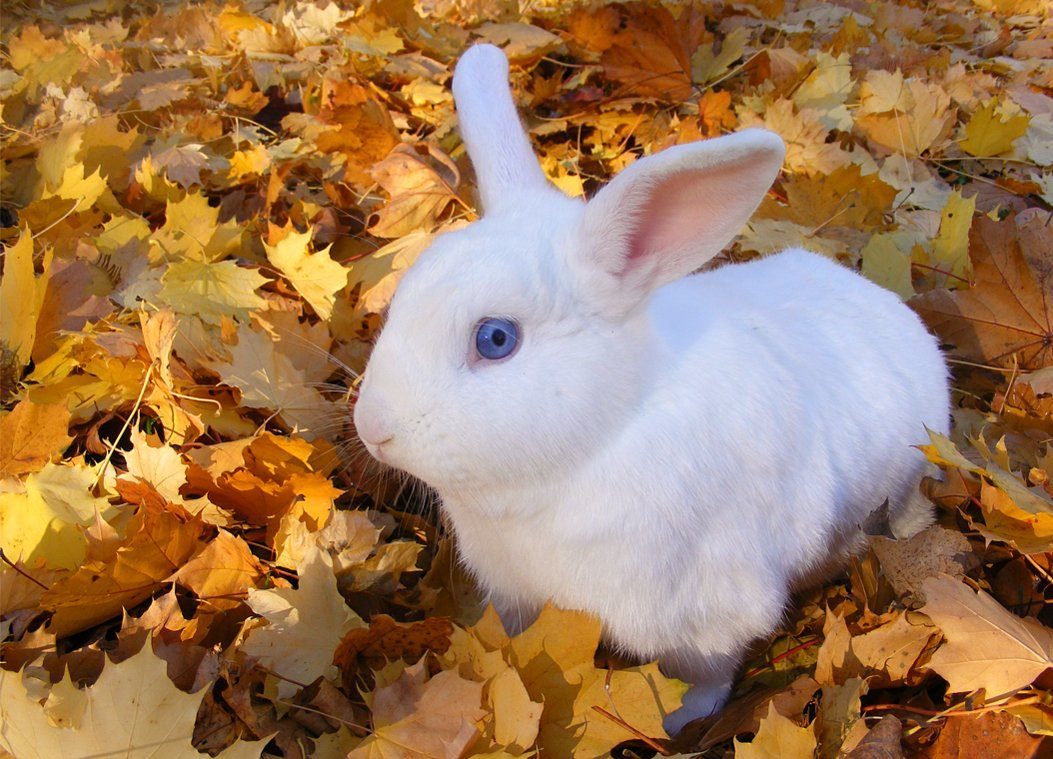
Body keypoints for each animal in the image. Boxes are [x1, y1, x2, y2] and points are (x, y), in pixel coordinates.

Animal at [353, 44, 956, 732]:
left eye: (496, 339)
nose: (373, 428)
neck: (595, 443)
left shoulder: (707, 616)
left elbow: (703, 676)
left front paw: (678, 722)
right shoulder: (516, 590)